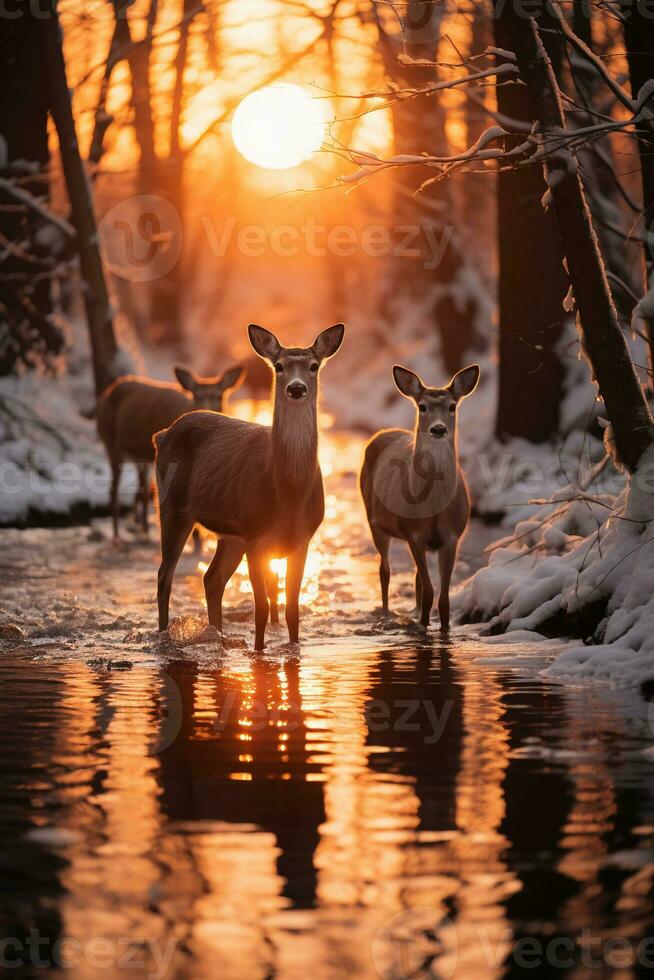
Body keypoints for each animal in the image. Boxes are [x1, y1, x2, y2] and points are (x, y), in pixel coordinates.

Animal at [100, 366, 246, 540]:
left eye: (219, 395)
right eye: (196, 394)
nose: (208, 409)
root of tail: (107, 393)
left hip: (140, 457)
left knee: (142, 488)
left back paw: (143, 530)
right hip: (110, 441)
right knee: (114, 489)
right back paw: (117, 536)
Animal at [155, 324, 348, 652]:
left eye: (313, 366)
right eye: (279, 366)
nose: (296, 388)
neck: (288, 493)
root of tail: (163, 434)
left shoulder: (302, 539)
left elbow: (292, 608)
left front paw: (293, 648)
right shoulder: (256, 537)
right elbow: (262, 608)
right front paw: (259, 651)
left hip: (231, 534)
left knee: (212, 579)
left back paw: (218, 635)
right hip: (173, 506)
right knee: (164, 575)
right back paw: (164, 634)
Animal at [358, 364, 482, 632]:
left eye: (452, 406)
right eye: (422, 406)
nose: (438, 429)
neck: (434, 508)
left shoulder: (451, 537)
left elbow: (443, 599)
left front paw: (443, 628)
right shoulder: (413, 533)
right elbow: (429, 591)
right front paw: (423, 626)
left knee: (415, 576)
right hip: (375, 522)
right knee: (385, 570)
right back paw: (386, 614)